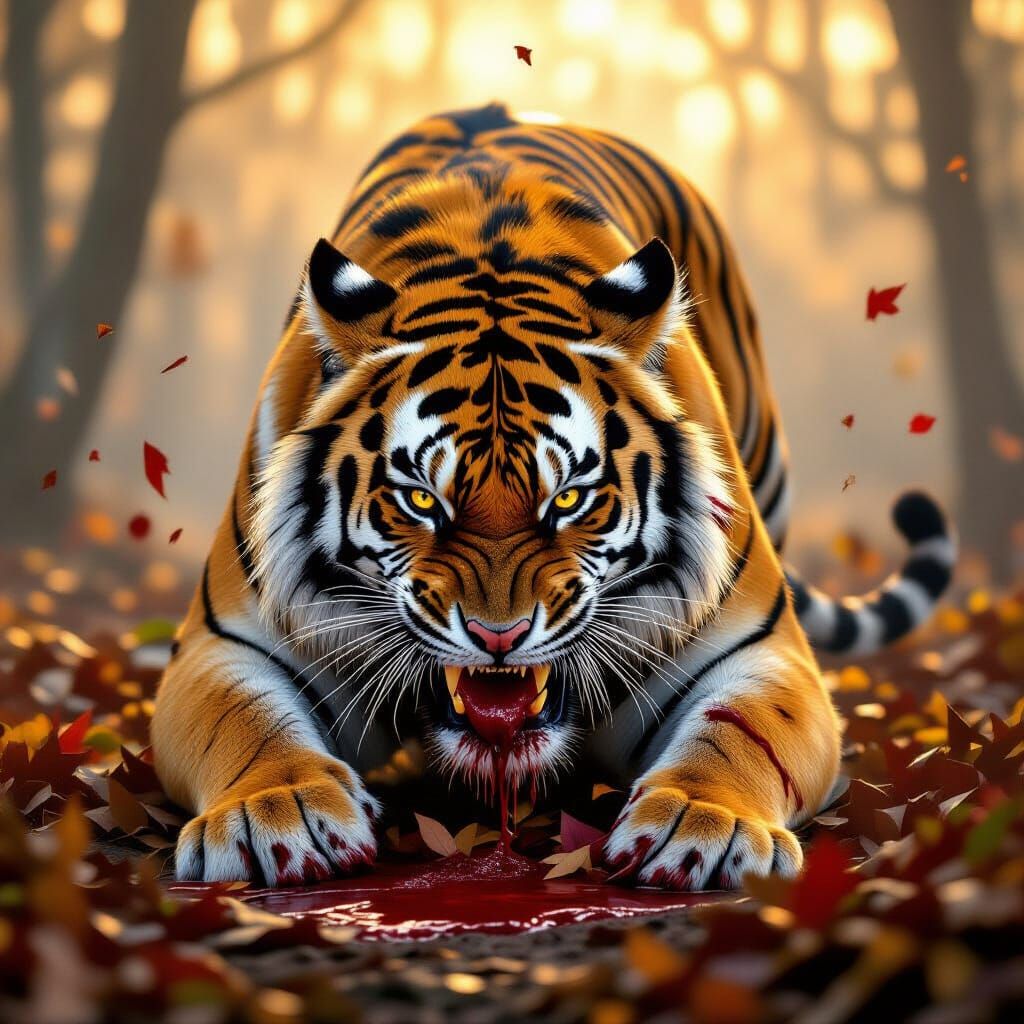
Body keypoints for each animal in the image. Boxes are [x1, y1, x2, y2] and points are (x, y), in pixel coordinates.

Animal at [152, 103, 956, 890]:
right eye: (420, 501)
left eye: (569, 501)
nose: (498, 637)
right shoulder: (227, 642)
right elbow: (242, 721)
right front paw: (275, 812)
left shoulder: (760, 649)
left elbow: (742, 732)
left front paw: (706, 823)